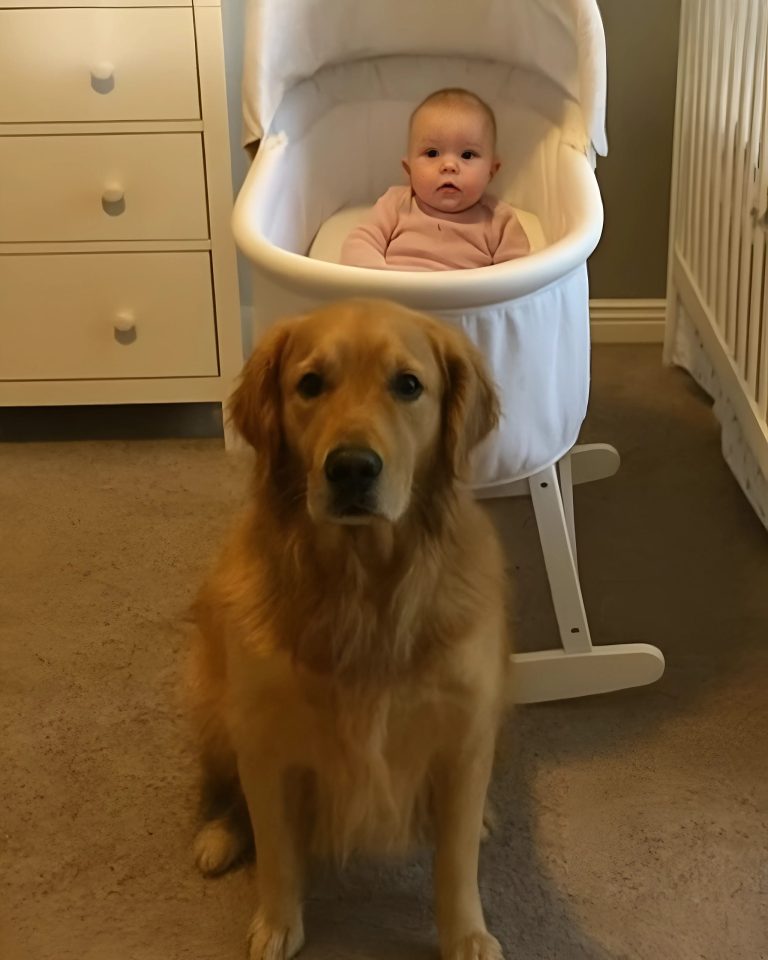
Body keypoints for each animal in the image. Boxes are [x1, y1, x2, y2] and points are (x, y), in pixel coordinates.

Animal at [186, 299, 510, 960]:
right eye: (310, 384)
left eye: (408, 385)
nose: (353, 469)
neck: (362, 589)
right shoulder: (265, 740)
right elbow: (278, 852)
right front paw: (277, 922)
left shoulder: (463, 732)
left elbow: (456, 859)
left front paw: (466, 934)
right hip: (215, 710)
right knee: (227, 792)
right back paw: (220, 833)